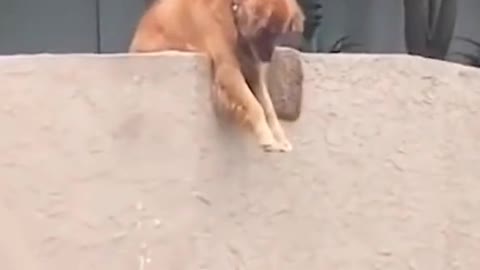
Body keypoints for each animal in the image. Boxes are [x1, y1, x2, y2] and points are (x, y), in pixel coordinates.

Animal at [129, 0, 306, 152]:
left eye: (278, 34)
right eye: (266, 31)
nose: (267, 59)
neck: (233, 11)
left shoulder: (253, 72)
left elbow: (268, 107)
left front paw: (280, 139)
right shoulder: (228, 69)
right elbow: (256, 105)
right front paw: (266, 137)